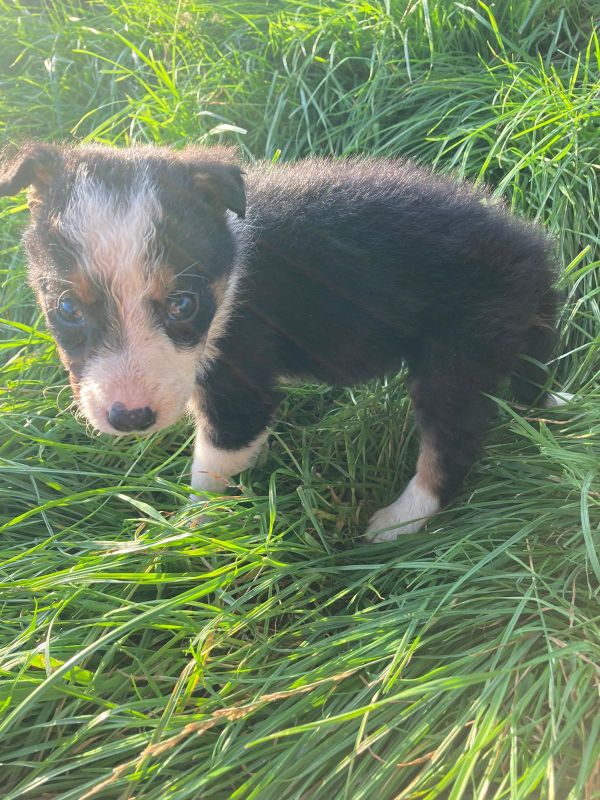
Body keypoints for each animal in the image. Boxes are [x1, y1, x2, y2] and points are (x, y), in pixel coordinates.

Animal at [0, 144, 568, 544]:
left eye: (182, 305)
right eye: (68, 310)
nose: (131, 419)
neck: (230, 268)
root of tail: (530, 244)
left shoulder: (240, 384)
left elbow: (210, 468)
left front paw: (185, 534)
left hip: (457, 357)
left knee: (451, 447)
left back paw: (395, 522)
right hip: (515, 331)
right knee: (533, 372)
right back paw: (550, 405)